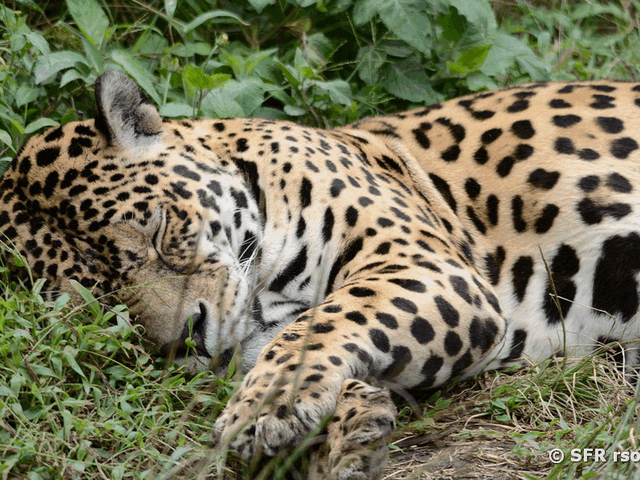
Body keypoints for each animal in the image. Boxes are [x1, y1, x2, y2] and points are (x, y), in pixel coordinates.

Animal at [2, 70, 640, 478]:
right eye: (105, 305)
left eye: (159, 229)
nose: (186, 339)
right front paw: (345, 435)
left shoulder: (421, 263)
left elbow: (323, 324)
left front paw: (266, 411)